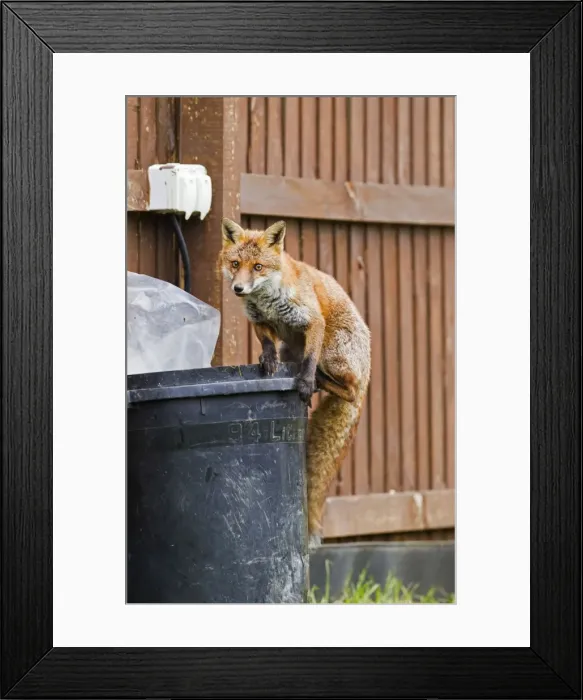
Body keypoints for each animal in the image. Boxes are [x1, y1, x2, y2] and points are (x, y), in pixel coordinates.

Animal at [218, 218, 371, 548]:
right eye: (235, 264)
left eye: (258, 267)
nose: (238, 288)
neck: (267, 301)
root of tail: (367, 370)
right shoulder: (260, 322)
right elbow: (266, 344)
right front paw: (267, 361)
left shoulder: (312, 321)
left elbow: (310, 358)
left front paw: (304, 382)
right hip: (291, 347)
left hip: (332, 352)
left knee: (350, 391)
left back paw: (317, 382)